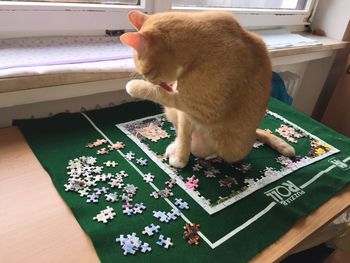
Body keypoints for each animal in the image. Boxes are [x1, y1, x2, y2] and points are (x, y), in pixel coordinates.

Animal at [120, 10, 296, 169]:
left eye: (146, 73)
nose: (149, 80)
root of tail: (253, 133)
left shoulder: (197, 107)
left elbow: (161, 95)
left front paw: (135, 86)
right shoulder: (185, 113)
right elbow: (183, 134)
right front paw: (180, 154)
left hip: (232, 149)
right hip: (172, 112)